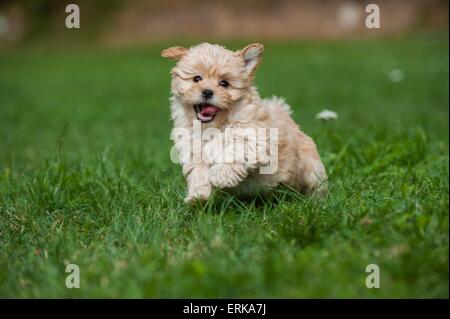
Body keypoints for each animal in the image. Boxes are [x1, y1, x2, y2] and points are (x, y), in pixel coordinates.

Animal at [162, 42, 326, 204]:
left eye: (224, 83)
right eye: (196, 79)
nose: (207, 92)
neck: (214, 126)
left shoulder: (254, 139)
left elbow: (236, 151)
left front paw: (218, 175)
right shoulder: (193, 150)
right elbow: (199, 173)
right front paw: (197, 197)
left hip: (311, 167)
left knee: (315, 185)